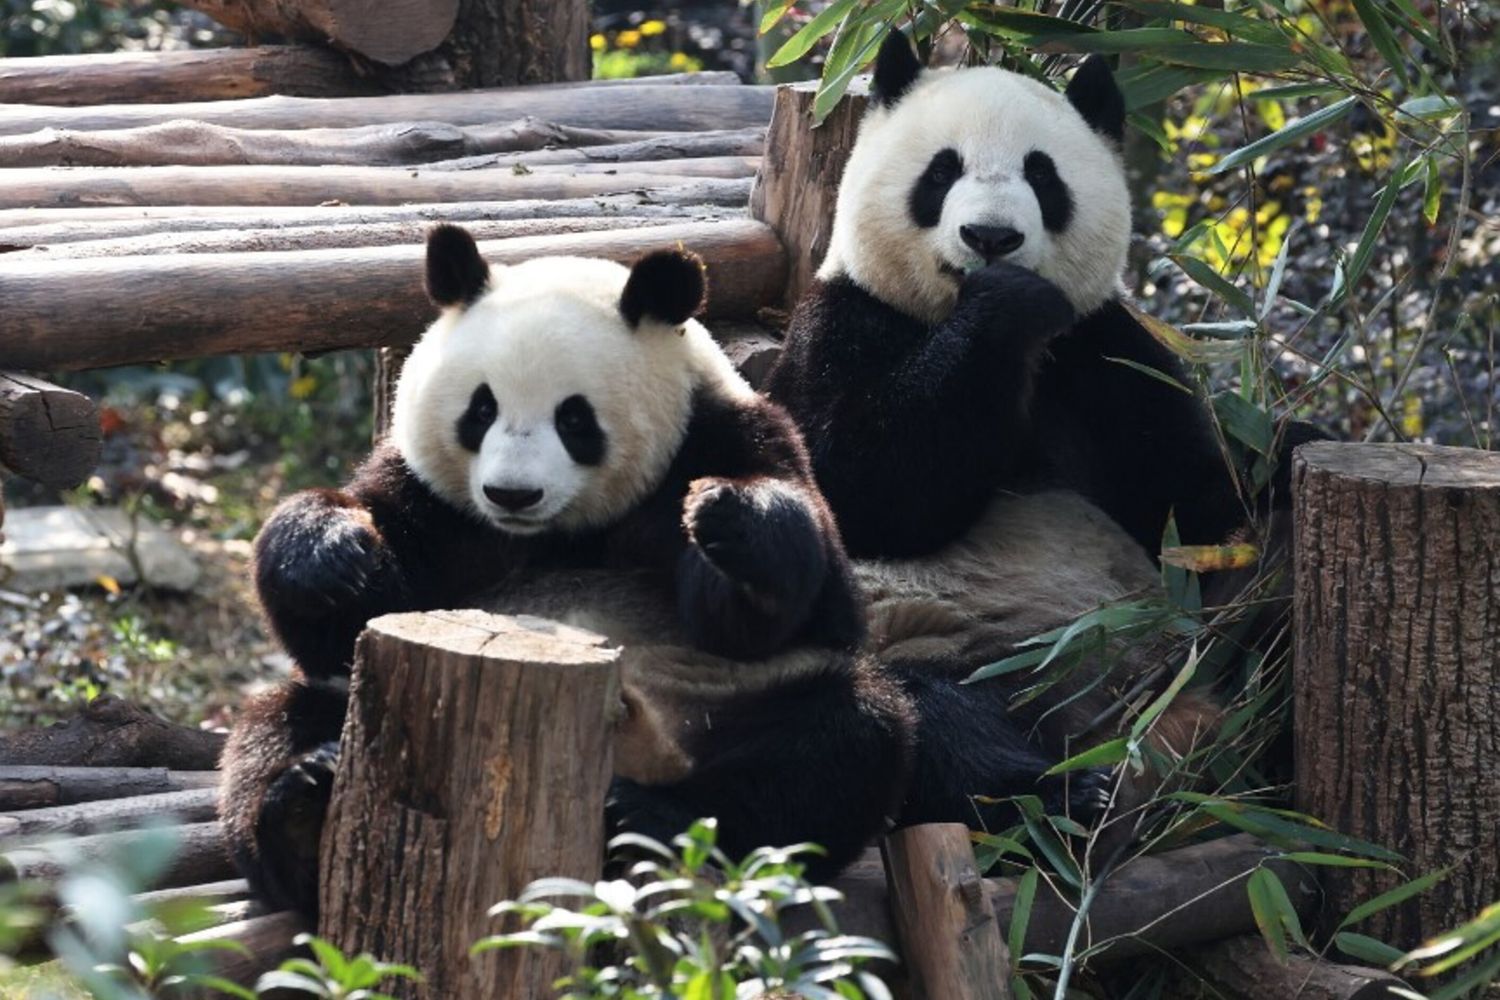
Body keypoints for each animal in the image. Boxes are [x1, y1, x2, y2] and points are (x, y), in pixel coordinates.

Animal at [220, 224, 1103, 920]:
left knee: (848, 742)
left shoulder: (725, 435)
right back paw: (303, 809)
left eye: (575, 419)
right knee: (279, 722)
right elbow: (349, 616)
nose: (512, 493)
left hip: (724, 721)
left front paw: (736, 525)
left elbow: (807, 608)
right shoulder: (435, 506)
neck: (564, 533)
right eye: (480, 409)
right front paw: (331, 549)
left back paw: (653, 820)